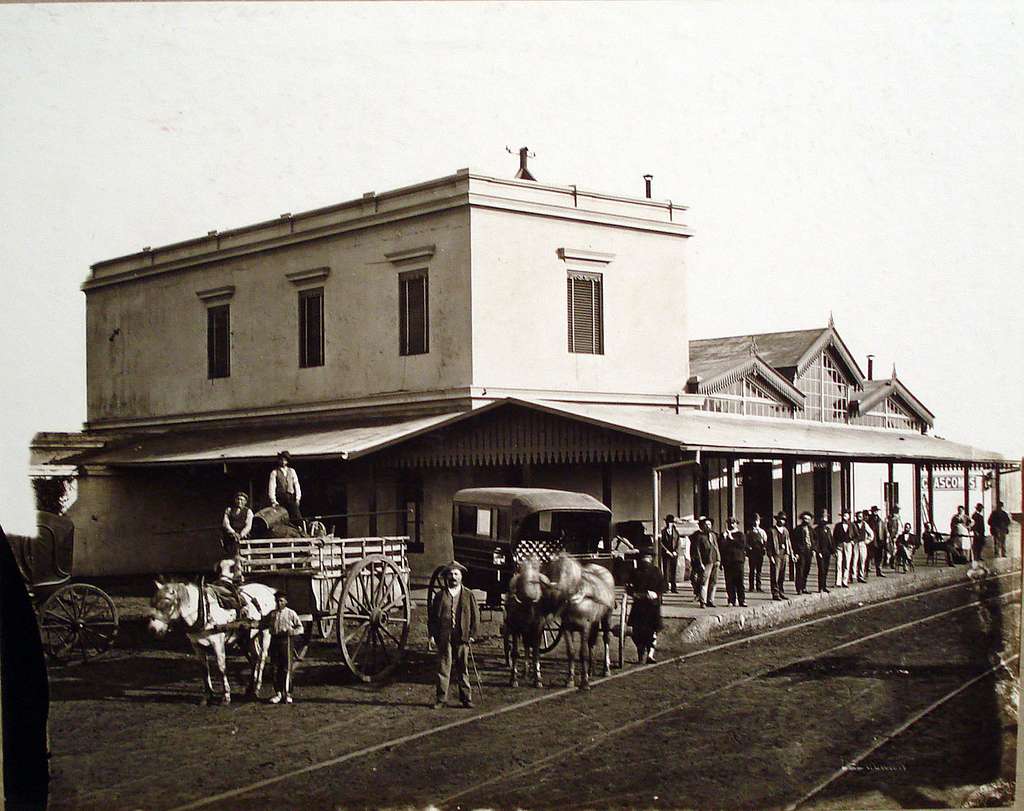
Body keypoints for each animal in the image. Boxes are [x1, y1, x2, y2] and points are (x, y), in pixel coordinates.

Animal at [147, 577, 276, 704]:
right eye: (153, 602)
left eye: (166, 602)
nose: (152, 629)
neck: (202, 612)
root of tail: (268, 589)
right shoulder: (196, 645)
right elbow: (204, 669)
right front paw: (208, 695)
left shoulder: (217, 643)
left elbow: (221, 667)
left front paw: (226, 695)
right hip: (250, 637)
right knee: (255, 658)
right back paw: (250, 687)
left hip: (265, 633)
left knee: (262, 657)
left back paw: (257, 686)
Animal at [499, 557, 557, 692]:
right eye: (522, 581)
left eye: (536, 581)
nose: (530, 595)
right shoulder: (514, 627)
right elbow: (515, 652)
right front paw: (513, 679)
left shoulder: (538, 628)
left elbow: (536, 653)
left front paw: (538, 679)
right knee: (523, 645)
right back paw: (525, 671)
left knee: (528, 646)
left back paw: (528, 671)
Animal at [540, 552, 610, 692]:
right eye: (553, 570)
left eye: (570, 574)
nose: (555, 588)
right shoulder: (567, 628)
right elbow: (571, 652)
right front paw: (570, 680)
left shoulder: (585, 627)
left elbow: (582, 653)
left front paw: (585, 682)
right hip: (595, 622)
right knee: (592, 642)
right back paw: (591, 670)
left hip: (606, 617)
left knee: (606, 639)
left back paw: (606, 669)